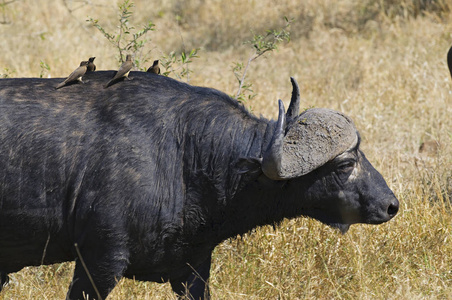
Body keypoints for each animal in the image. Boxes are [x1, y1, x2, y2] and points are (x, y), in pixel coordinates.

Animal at [0, 71, 400, 298]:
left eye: (361, 151)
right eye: (346, 163)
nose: (390, 204)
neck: (184, 155)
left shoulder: (193, 269)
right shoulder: (98, 262)